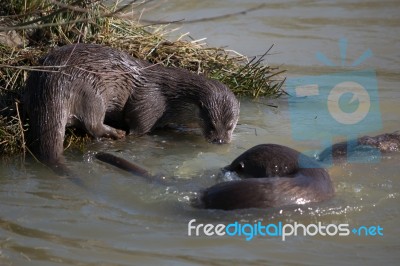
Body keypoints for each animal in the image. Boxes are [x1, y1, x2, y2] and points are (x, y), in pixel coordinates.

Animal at [23, 43, 239, 166]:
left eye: (230, 126)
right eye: (211, 125)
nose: (220, 140)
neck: (171, 98)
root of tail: (53, 82)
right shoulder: (149, 104)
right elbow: (137, 129)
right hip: (91, 91)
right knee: (92, 123)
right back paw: (116, 133)